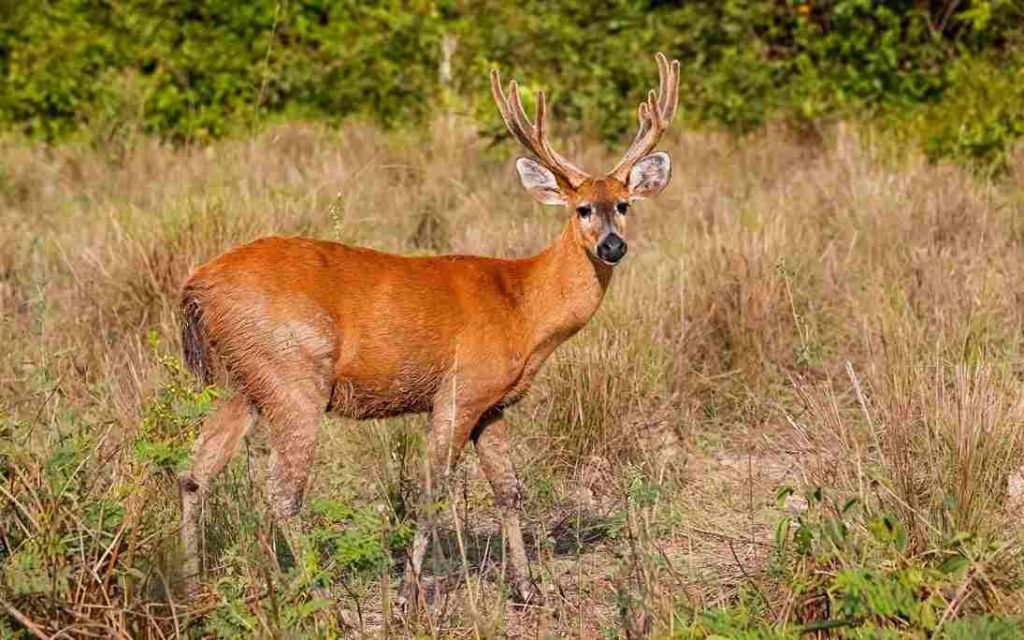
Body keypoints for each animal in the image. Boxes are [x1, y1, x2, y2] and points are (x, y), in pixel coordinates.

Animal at [177, 52, 679, 606]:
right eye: (582, 208)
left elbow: (509, 490)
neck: (523, 306)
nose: (612, 246)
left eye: (625, 204)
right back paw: (319, 596)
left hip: (243, 382)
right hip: (292, 374)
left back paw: (191, 588)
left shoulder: (494, 404)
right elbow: (433, 489)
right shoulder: (460, 389)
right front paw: (408, 592)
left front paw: (527, 588)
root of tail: (197, 284)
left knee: (194, 473)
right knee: (282, 494)